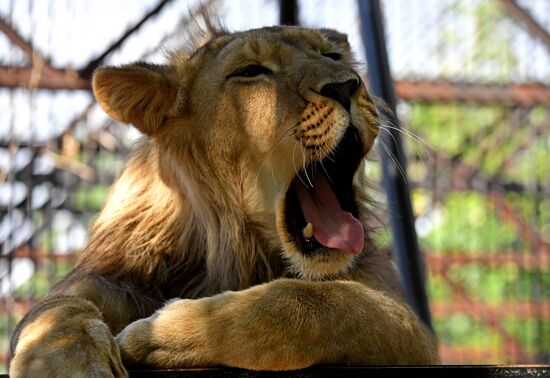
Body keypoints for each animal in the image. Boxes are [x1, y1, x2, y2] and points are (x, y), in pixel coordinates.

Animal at [8, 25, 440, 376]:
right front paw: (63, 360)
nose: (346, 85)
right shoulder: (112, 276)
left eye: (332, 56)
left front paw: (163, 333)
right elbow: (54, 306)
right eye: (251, 71)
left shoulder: (410, 329)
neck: (240, 248)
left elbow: (316, 300)